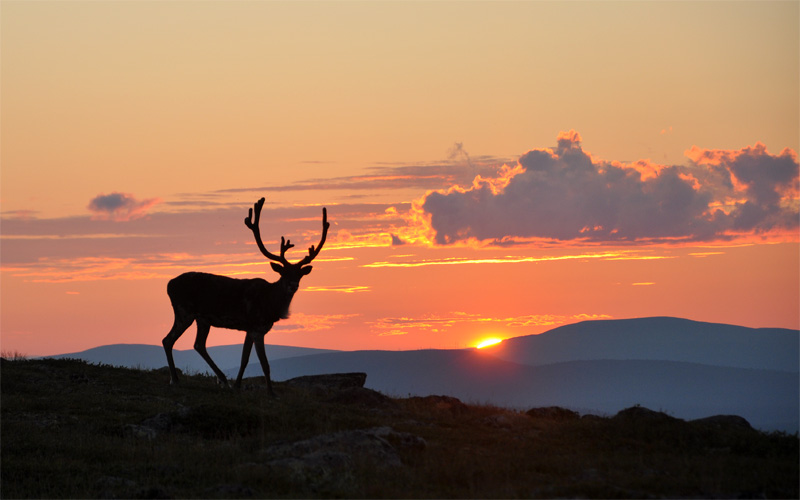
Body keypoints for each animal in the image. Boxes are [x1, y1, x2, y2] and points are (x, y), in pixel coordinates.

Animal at [162, 197, 329, 396]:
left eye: (299, 274)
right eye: (284, 273)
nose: (293, 285)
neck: (270, 305)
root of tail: (169, 285)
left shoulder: (250, 329)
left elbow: (244, 359)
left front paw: (237, 385)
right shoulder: (256, 328)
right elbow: (264, 364)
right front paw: (271, 393)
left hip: (202, 319)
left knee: (198, 344)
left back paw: (223, 379)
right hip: (184, 311)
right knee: (168, 340)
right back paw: (175, 379)